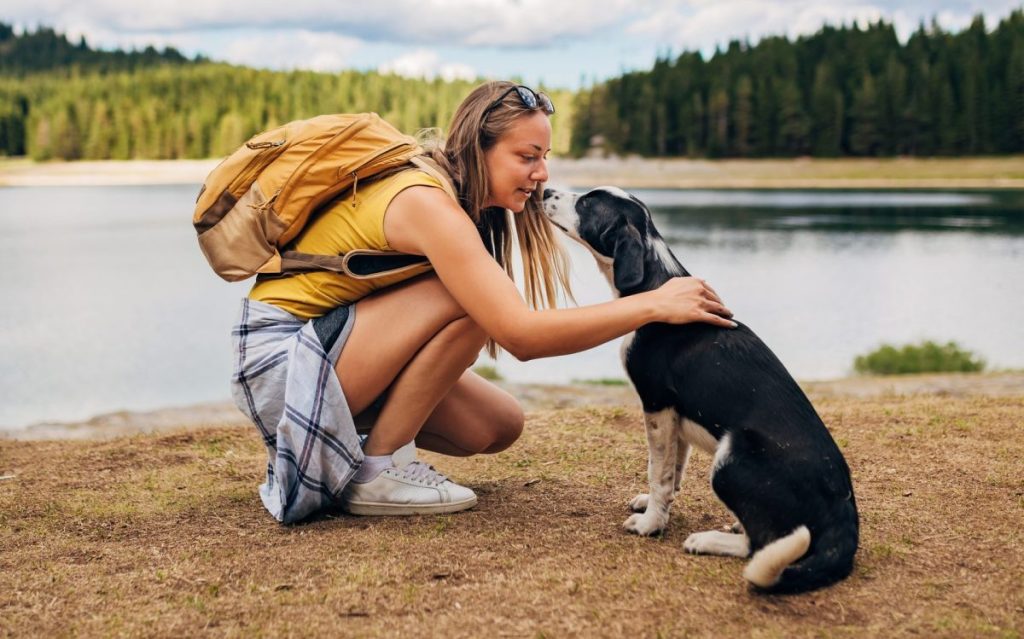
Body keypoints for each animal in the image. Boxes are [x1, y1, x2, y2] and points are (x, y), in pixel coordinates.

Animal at [544, 186, 856, 593]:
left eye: (586, 202)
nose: (545, 190)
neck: (656, 283)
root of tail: (844, 514)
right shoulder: (674, 417)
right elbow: (671, 472)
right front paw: (654, 509)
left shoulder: (656, 403)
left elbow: (658, 473)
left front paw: (650, 525)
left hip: (730, 460)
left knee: (759, 546)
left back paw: (708, 540)